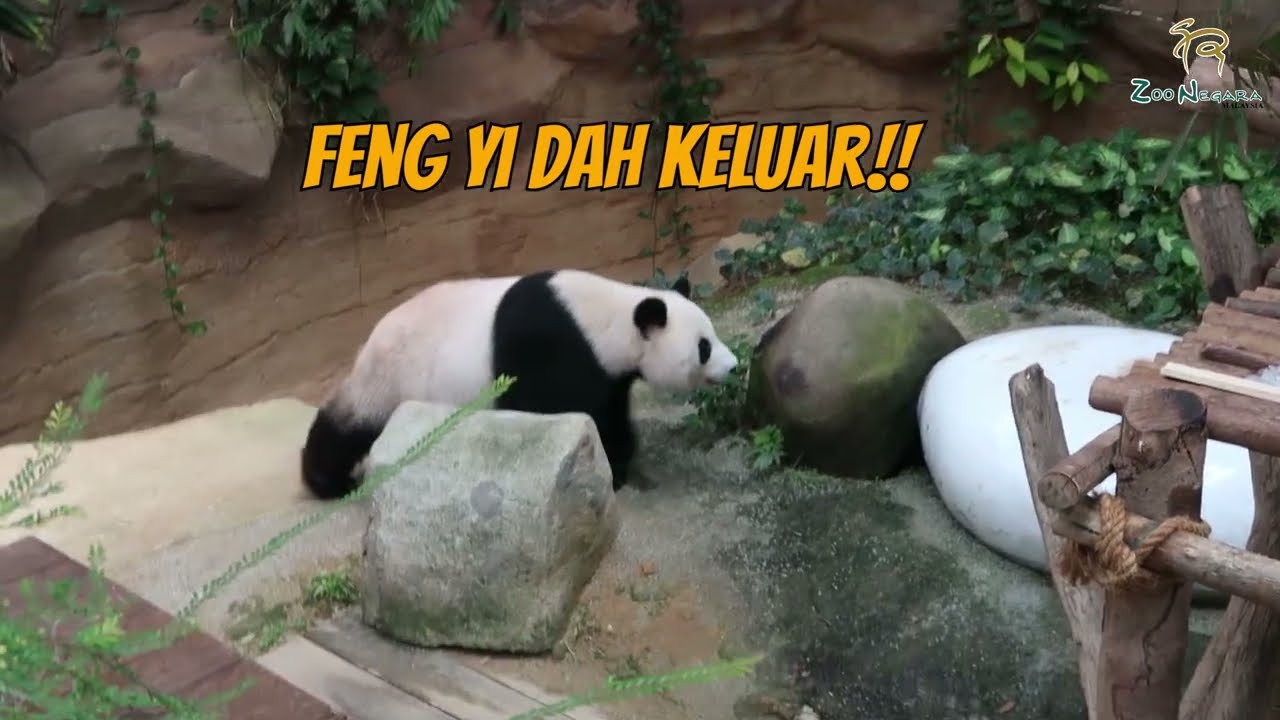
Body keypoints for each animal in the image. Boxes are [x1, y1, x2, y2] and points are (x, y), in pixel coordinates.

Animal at [300, 269, 740, 500]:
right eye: (703, 347)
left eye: (713, 335)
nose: (734, 366)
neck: (605, 317)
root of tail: (372, 337)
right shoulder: (552, 346)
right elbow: (564, 410)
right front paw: (608, 473)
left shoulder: (607, 372)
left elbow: (609, 414)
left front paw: (619, 463)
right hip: (394, 375)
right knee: (351, 424)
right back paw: (327, 481)